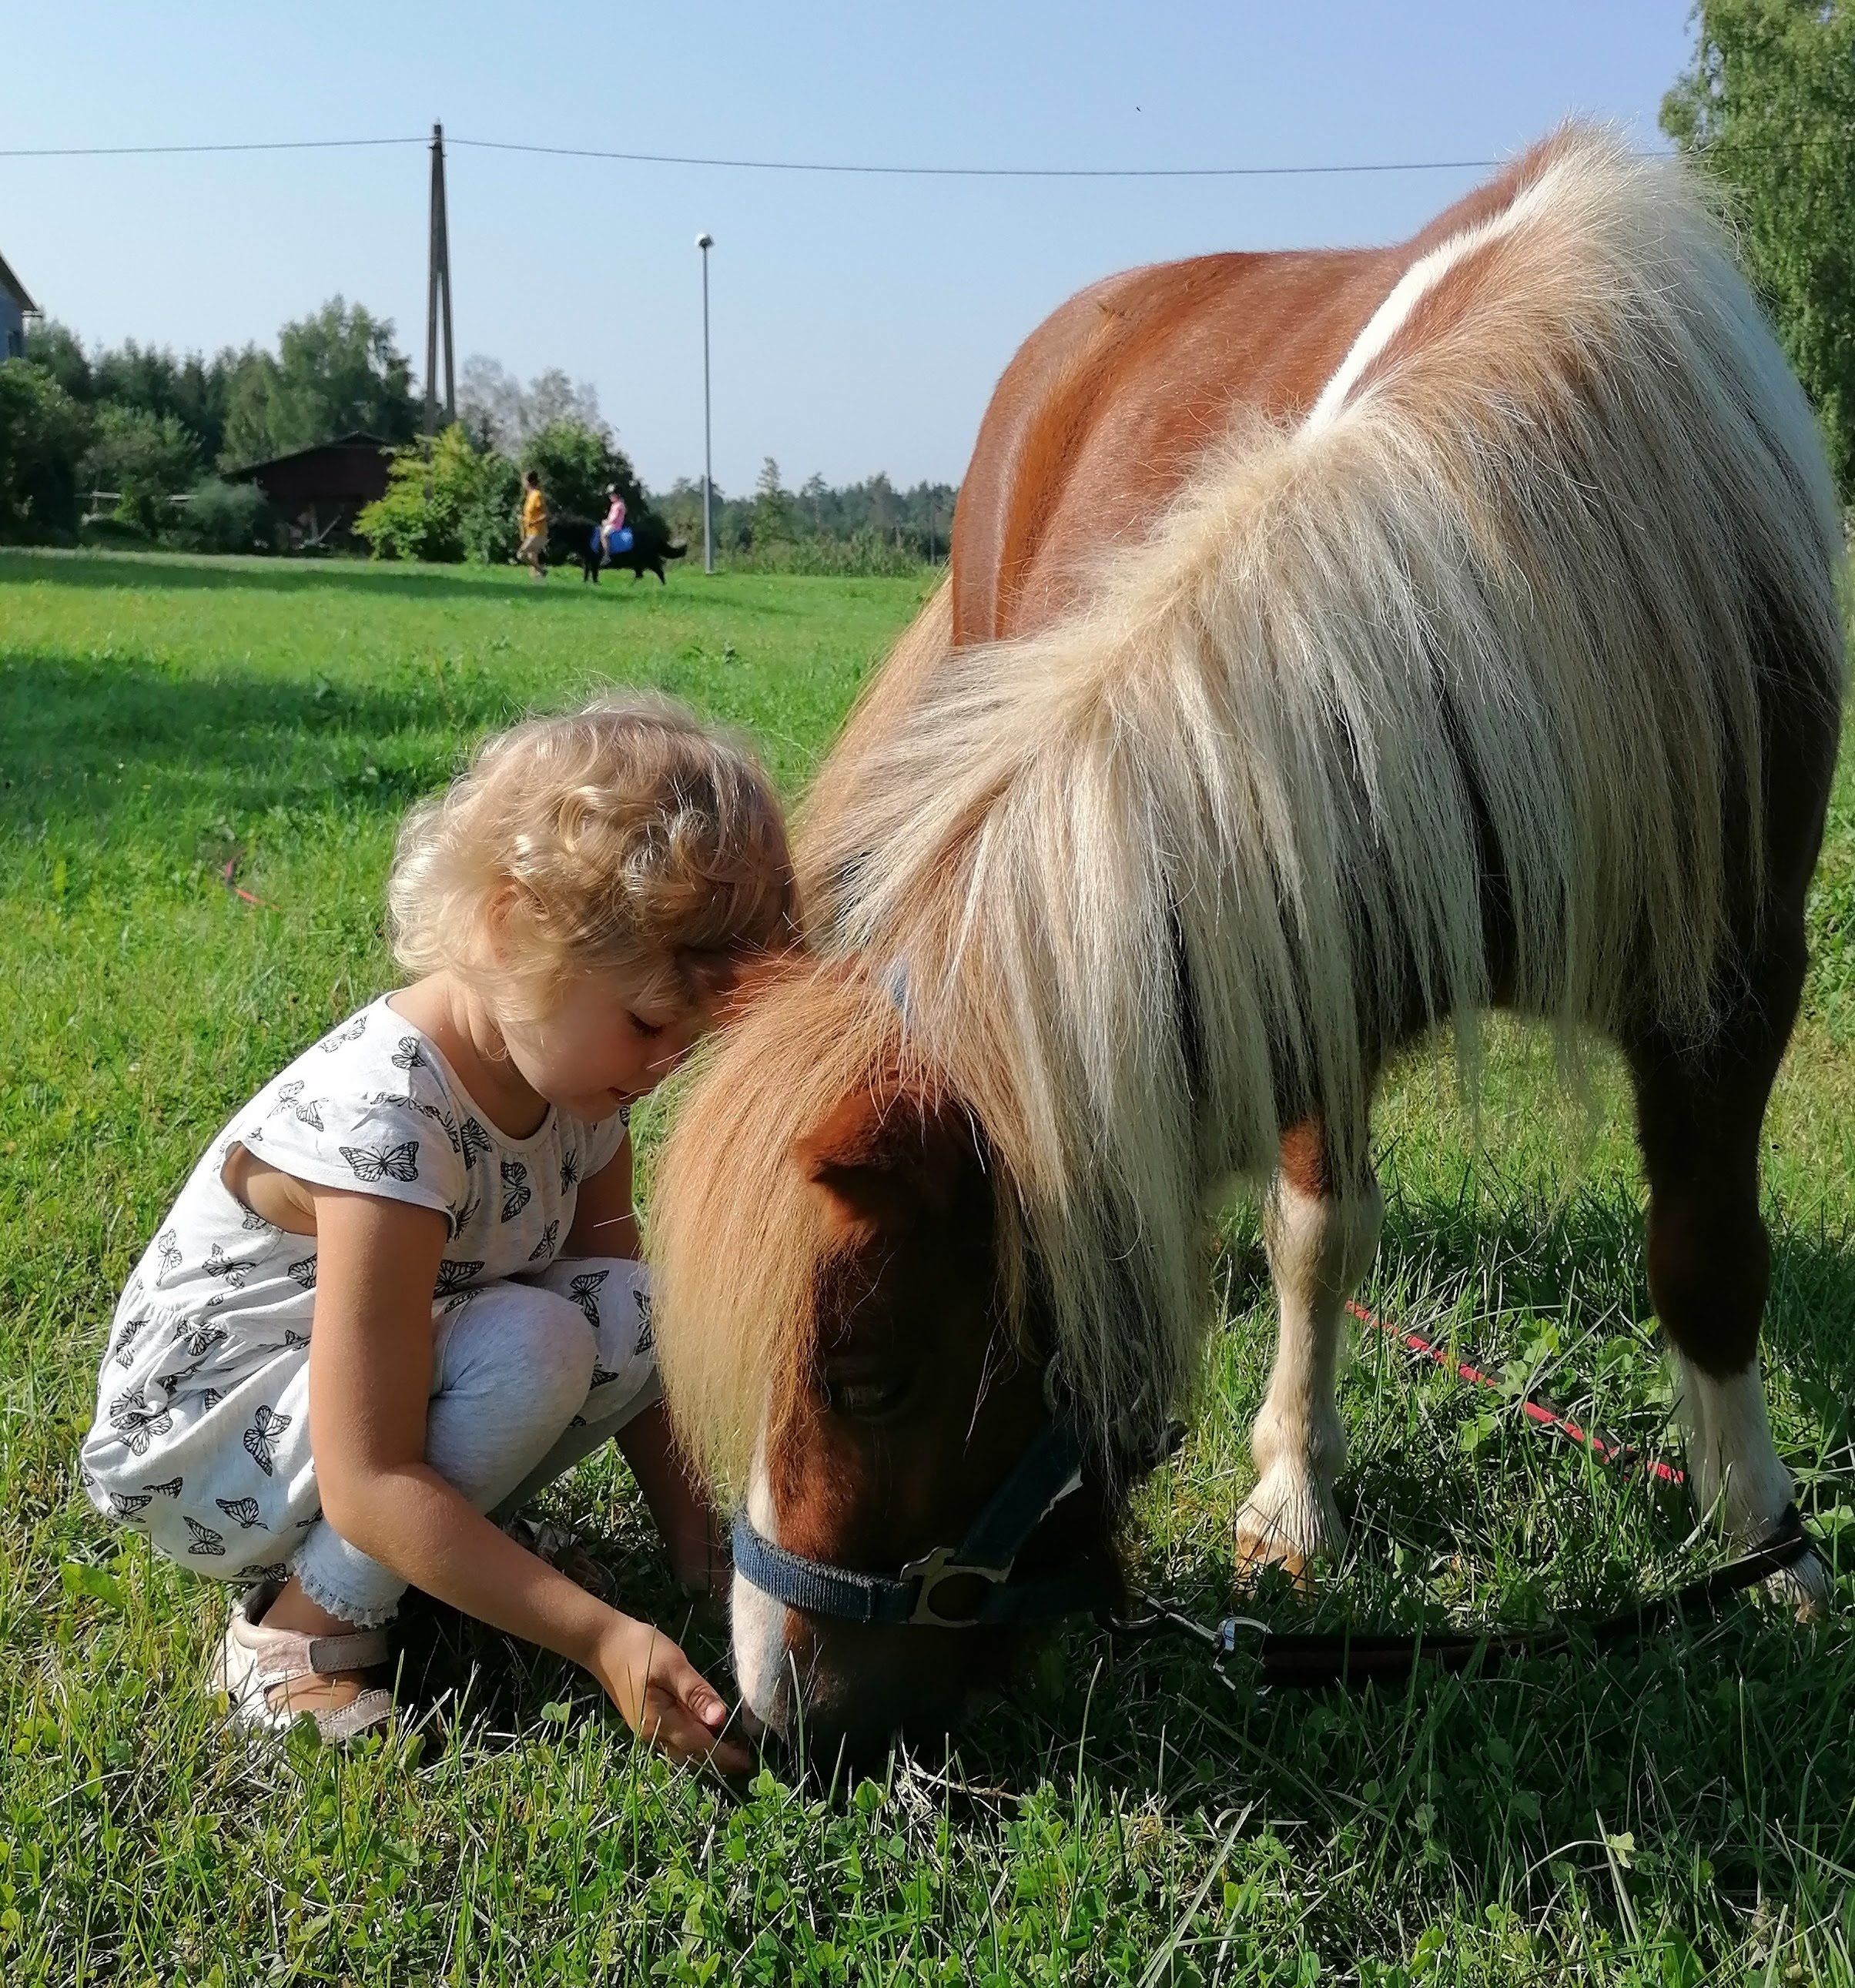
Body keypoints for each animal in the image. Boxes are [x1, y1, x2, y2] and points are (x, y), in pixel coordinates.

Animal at [651, 132, 1837, 1757]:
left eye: (866, 1373)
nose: (769, 1706)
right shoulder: (1304, 940)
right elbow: (1317, 1230)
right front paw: (1290, 1493)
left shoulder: (1730, 984)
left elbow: (1707, 1258)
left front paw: (1758, 1543)